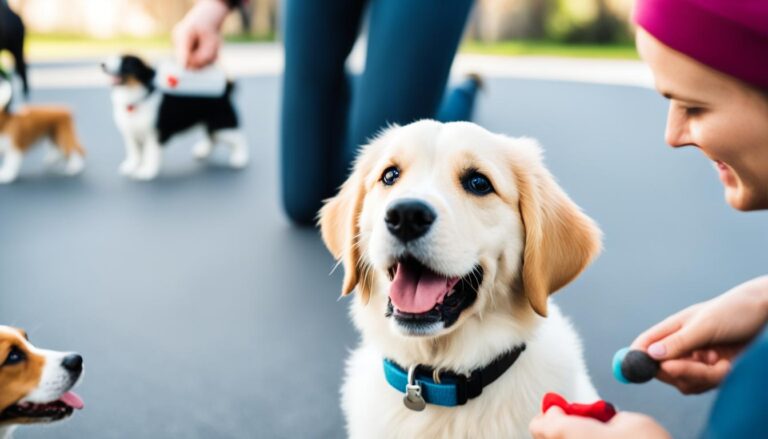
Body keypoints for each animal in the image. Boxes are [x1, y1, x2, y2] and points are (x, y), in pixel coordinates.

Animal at [100, 55, 248, 180]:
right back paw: (203, 151)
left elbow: (150, 155)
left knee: (240, 140)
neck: (137, 101)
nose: (102, 64)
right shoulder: (130, 135)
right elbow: (134, 153)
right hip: (212, 125)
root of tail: (226, 91)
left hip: (223, 127)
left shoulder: (154, 136)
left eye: (127, 62)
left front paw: (147, 171)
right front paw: (131, 166)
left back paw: (240, 158)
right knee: (212, 138)